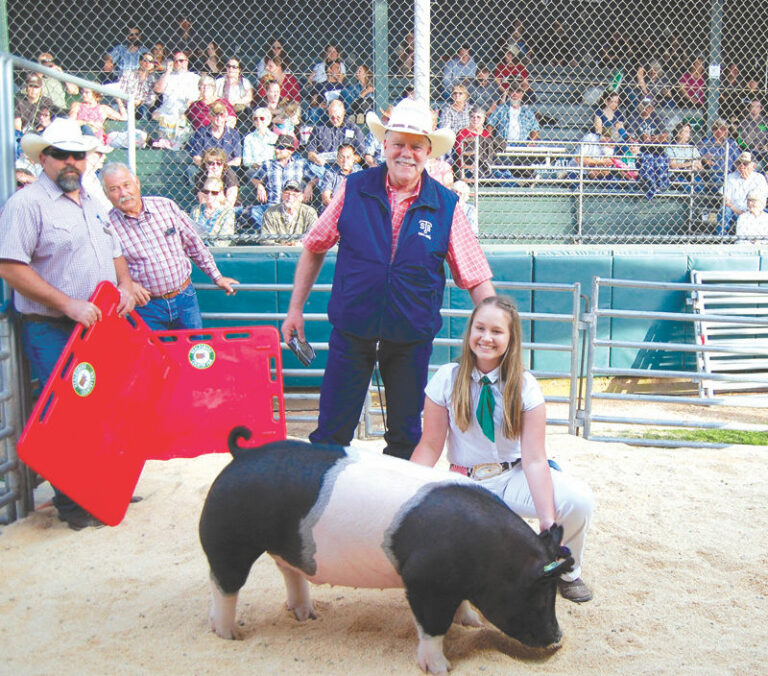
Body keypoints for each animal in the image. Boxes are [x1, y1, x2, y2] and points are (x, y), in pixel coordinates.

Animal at [201, 428, 572, 672]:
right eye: (538, 593)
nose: (558, 638)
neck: (491, 556)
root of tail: (242, 455)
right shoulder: (424, 581)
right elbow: (432, 628)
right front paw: (441, 667)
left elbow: (462, 607)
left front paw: (472, 623)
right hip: (226, 538)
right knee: (224, 585)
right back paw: (231, 634)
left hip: (283, 546)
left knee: (289, 571)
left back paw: (307, 615)